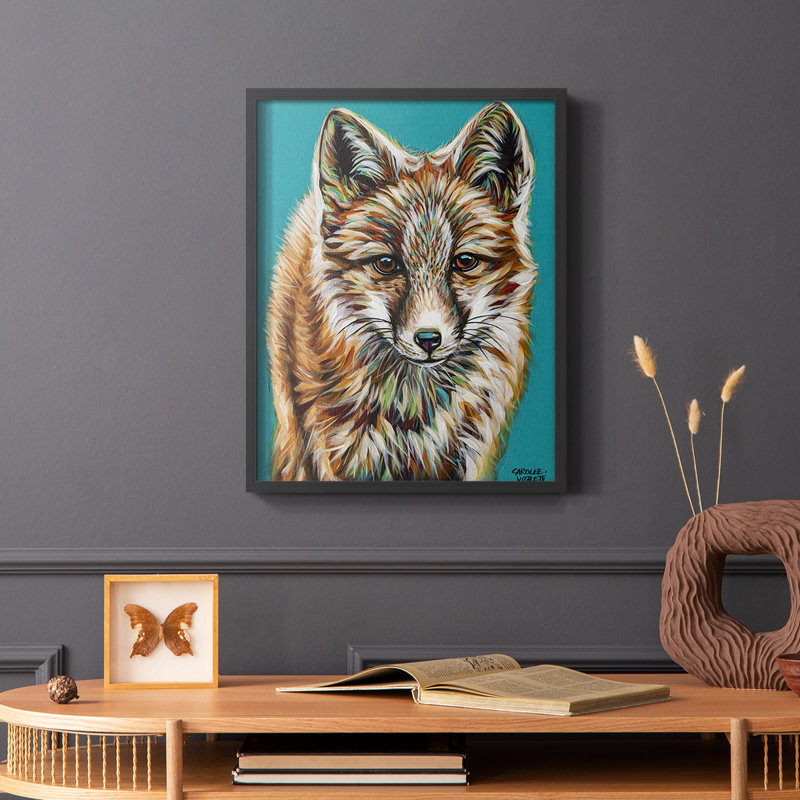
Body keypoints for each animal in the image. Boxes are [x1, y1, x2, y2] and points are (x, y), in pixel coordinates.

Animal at [267, 101, 537, 481]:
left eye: (465, 261)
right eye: (386, 264)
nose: (428, 340)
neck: (413, 414)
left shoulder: (469, 455)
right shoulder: (335, 454)